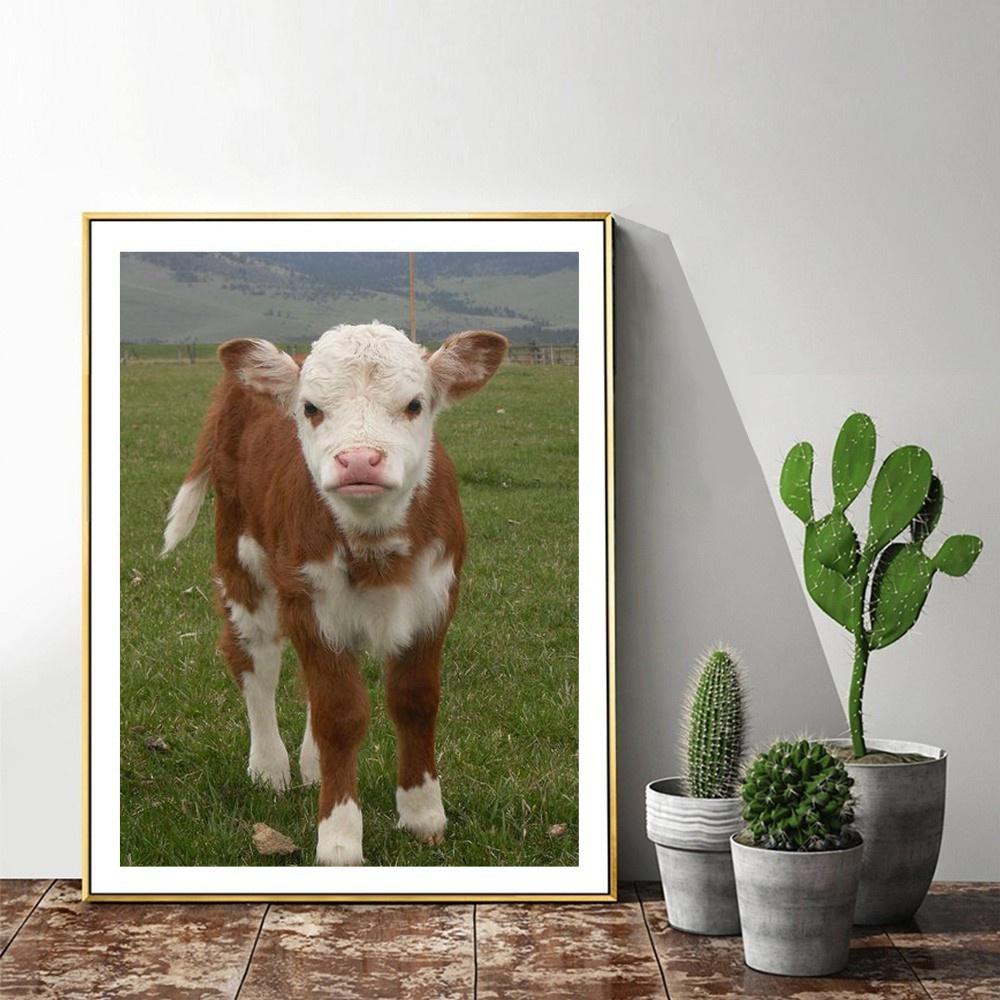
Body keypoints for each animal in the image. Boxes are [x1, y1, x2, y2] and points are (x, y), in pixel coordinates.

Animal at [161, 322, 508, 865]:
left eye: (414, 404)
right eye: (310, 408)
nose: (359, 459)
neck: (373, 545)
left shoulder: (434, 600)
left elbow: (415, 701)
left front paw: (422, 813)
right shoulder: (309, 604)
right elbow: (340, 715)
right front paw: (340, 838)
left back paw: (310, 765)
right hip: (242, 561)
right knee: (256, 663)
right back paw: (270, 766)